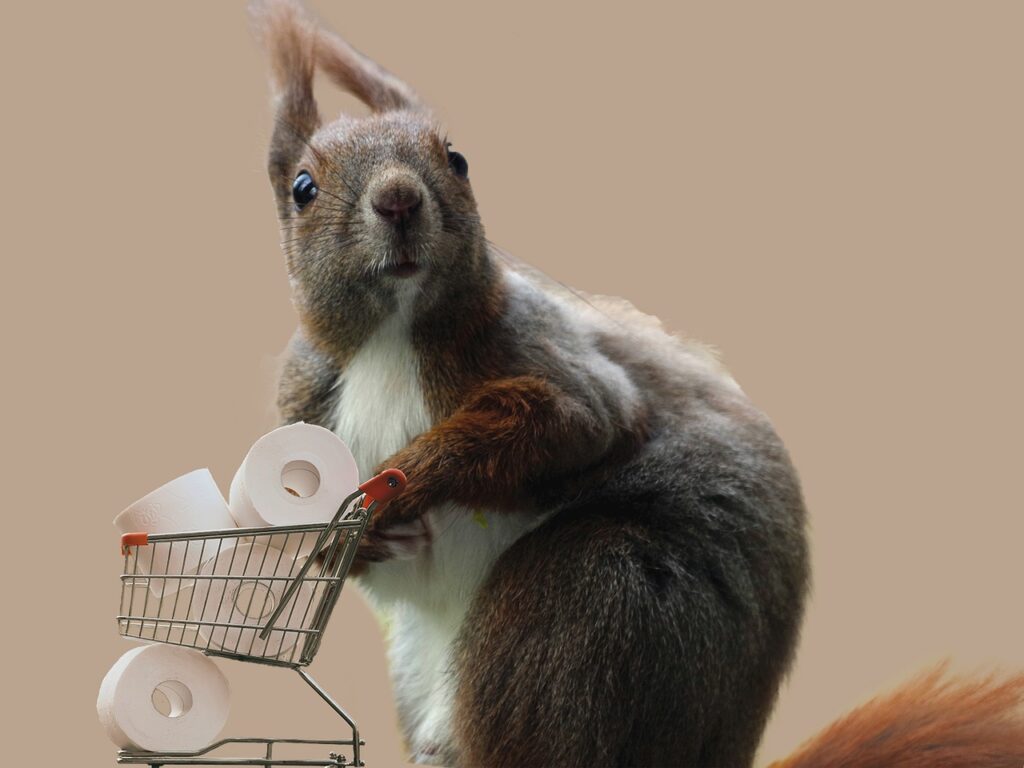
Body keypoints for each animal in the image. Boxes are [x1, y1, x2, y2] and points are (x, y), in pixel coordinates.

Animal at [250, 1, 1024, 765]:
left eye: (458, 160)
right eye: (303, 189)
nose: (400, 199)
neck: (392, 339)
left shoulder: (558, 364)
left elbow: (575, 423)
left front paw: (411, 475)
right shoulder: (310, 405)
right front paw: (344, 544)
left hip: (591, 602)